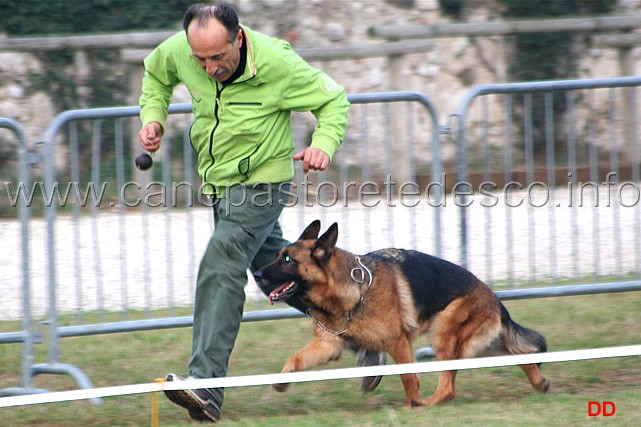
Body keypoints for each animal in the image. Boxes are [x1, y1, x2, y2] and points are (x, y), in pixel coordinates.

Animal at [252, 221, 548, 408]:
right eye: (278, 255)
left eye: (288, 260)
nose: (256, 274)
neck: (349, 295)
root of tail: (494, 298)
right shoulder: (327, 345)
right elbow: (295, 358)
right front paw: (282, 381)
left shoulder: (398, 342)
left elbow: (408, 378)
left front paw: (409, 405)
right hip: (480, 342)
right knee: (521, 356)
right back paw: (540, 383)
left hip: (445, 335)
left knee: (449, 386)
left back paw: (426, 403)